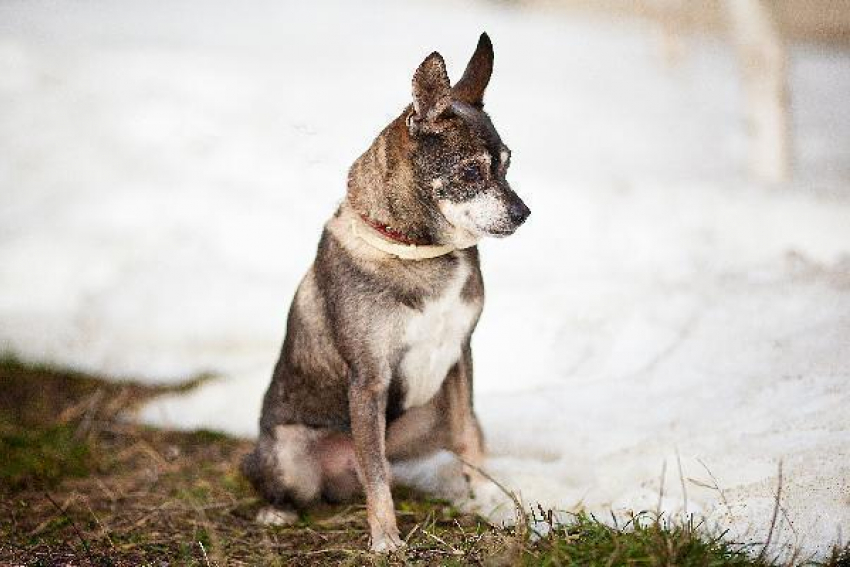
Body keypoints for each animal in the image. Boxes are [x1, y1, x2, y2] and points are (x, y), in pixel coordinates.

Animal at [242, 32, 528, 556]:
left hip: (425, 418)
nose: (523, 213)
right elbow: (376, 476)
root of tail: (339, 477)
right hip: (289, 453)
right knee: (306, 478)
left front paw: (486, 501)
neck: (422, 252)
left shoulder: (460, 358)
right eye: (471, 173)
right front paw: (386, 538)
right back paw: (277, 511)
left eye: (507, 165)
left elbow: (469, 437)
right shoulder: (370, 379)